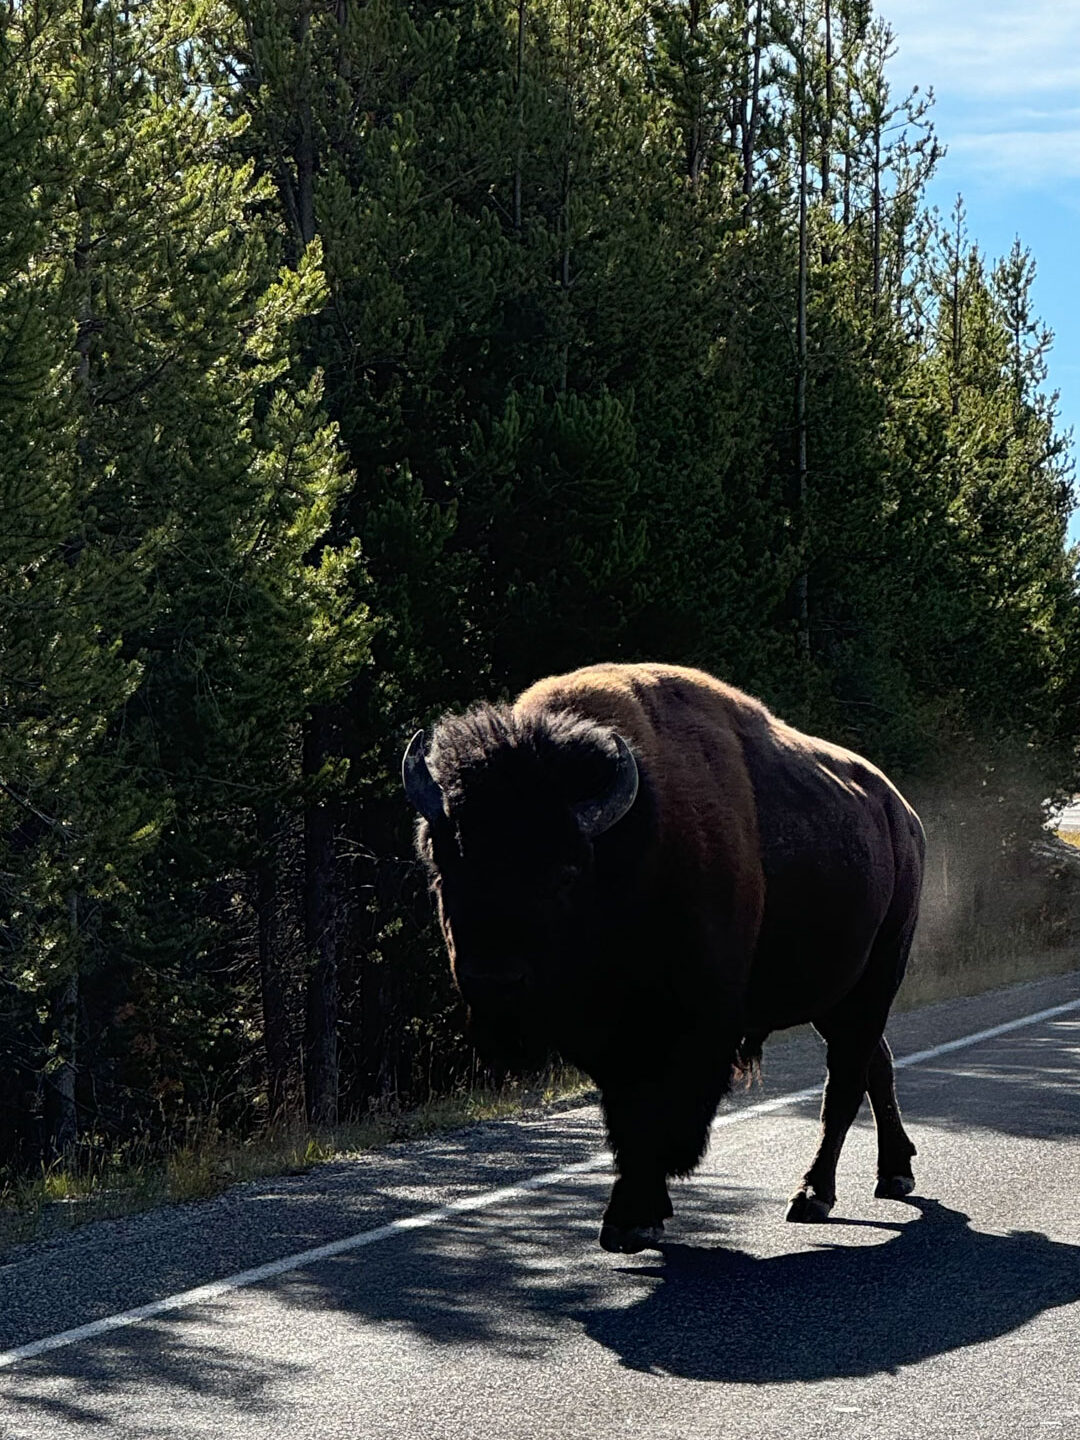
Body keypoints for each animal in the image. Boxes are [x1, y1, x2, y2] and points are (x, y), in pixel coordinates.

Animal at [403, 659, 927, 1249]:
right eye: (444, 864)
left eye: (566, 873)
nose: (494, 980)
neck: (628, 849)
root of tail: (902, 815)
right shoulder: (613, 1040)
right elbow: (628, 1115)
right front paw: (630, 1215)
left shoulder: (699, 1022)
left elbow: (665, 1111)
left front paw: (639, 1210)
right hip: (835, 998)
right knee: (873, 1064)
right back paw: (894, 1171)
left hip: (877, 976)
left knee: (844, 1082)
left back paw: (814, 1195)